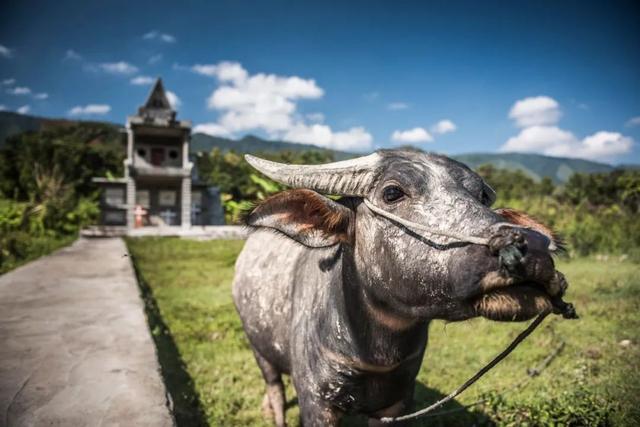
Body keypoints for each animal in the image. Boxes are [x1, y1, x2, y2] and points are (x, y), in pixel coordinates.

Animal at [232, 149, 568, 426]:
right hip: (258, 348)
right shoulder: (316, 404)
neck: (374, 354)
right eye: (392, 193)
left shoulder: (397, 404)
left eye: (482, 197)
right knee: (275, 389)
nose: (533, 247)